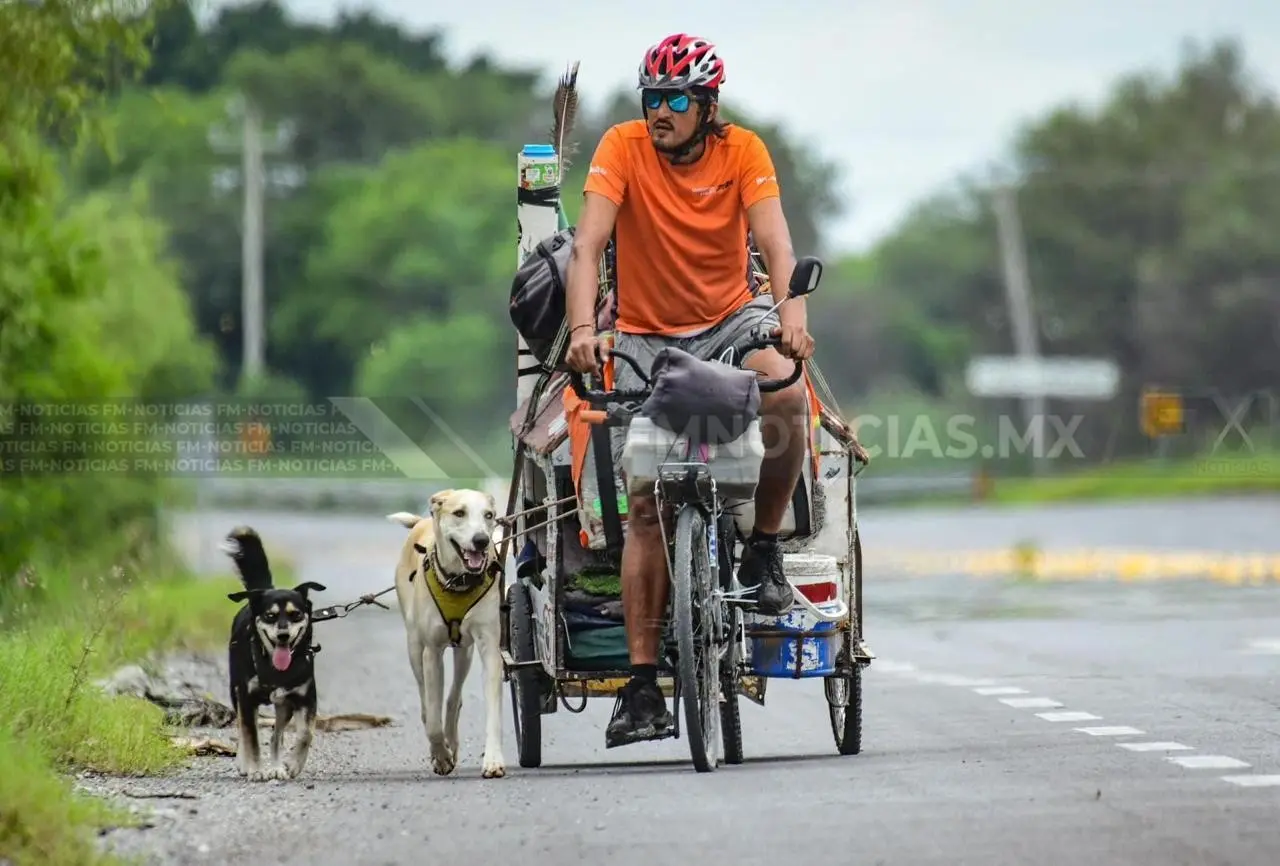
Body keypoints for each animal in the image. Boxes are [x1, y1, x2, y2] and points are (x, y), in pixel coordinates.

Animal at [218, 524, 325, 777]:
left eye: (296, 614)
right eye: (270, 615)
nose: (283, 635)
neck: (276, 669)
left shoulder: (305, 698)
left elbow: (305, 734)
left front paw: (293, 764)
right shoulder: (247, 698)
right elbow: (251, 736)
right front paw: (255, 769)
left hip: (283, 706)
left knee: (277, 736)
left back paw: (276, 767)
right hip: (236, 692)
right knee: (243, 729)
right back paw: (244, 764)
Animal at [384, 486, 504, 777]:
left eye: (489, 515)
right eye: (459, 513)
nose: (482, 540)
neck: (458, 581)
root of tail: (421, 522)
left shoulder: (489, 648)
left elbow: (493, 710)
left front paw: (493, 759)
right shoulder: (431, 652)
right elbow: (432, 721)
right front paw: (440, 757)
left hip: (465, 652)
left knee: (453, 698)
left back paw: (453, 740)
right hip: (414, 647)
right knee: (427, 703)